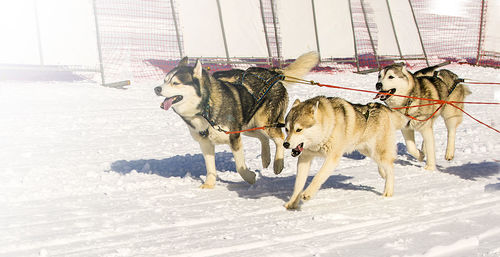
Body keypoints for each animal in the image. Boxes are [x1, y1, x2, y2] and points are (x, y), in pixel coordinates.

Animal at [154, 52, 318, 188]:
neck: (205, 108)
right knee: (263, 138)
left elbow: (240, 167)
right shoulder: (205, 142)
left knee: (279, 138)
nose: (156, 89)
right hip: (247, 126)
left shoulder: (234, 137)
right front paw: (209, 184)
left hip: (264, 122)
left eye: (175, 83)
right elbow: (210, 167)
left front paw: (251, 178)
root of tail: (273, 72)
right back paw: (265, 158)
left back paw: (277, 164)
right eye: (164, 80)